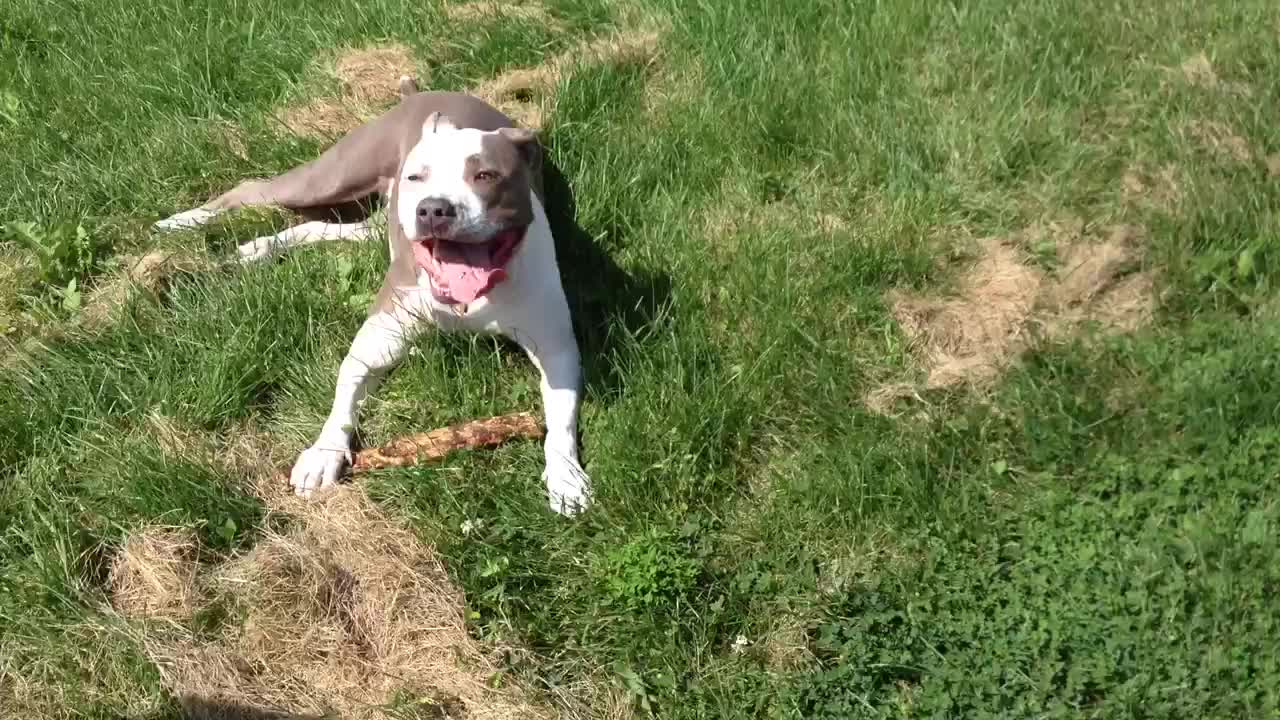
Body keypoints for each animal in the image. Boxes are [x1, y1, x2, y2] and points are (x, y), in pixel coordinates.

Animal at [153, 79, 588, 509]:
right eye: (417, 178)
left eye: (485, 175)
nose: (433, 209)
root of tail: (424, 93)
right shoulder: (381, 334)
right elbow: (347, 386)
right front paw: (324, 452)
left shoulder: (557, 348)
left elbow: (560, 421)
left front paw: (565, 476)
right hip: (332, 177)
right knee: (253, 188)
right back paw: (182, 221)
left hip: (373, 220)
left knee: (318, 227)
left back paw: (260, 248)